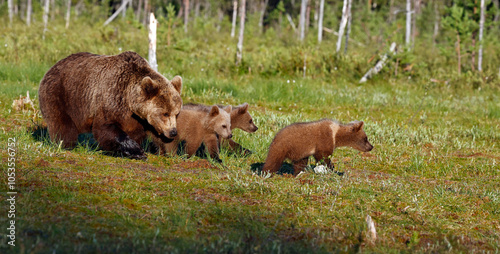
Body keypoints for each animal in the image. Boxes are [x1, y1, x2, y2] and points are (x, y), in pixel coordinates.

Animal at [37, 50, 182, 160]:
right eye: (165, 113)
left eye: (176, 113)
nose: (173, 132)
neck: (129, 101)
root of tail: (53, 66)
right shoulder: (111, 97)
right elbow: (106, 127)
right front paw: (137, 151)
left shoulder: (137, 118)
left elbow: (135, 132)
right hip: (61, 94)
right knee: (62, 123)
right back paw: (65, 144)